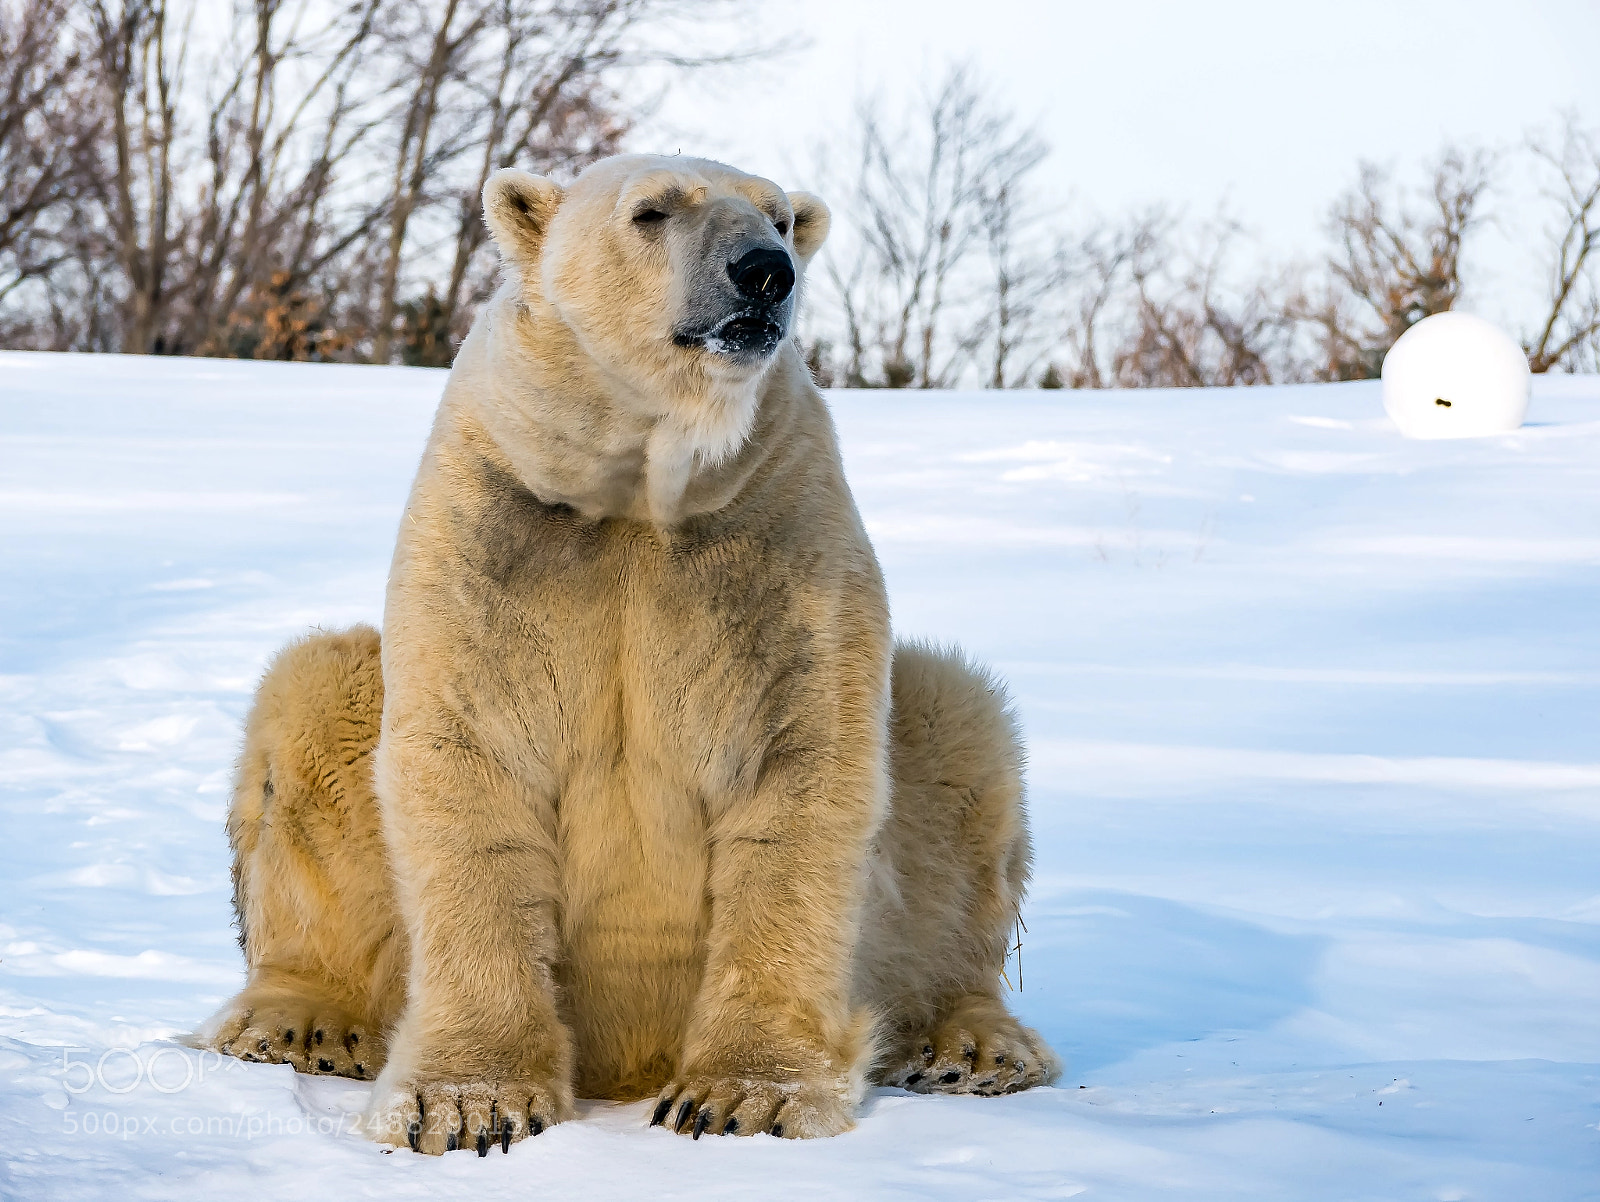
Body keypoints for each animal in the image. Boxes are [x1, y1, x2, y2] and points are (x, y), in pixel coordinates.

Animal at [198, 153, 1059, 1154]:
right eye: (653, 211)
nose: (765, 272)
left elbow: (803, 768)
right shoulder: (492, 526)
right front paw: (467, 1105)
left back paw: (970, 1044)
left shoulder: (786, 536)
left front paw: (742, 1097)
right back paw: (297, 1021)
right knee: (314, 694)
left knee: (959, 728)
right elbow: (467, 765)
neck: (635, 492)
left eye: (778, 215)